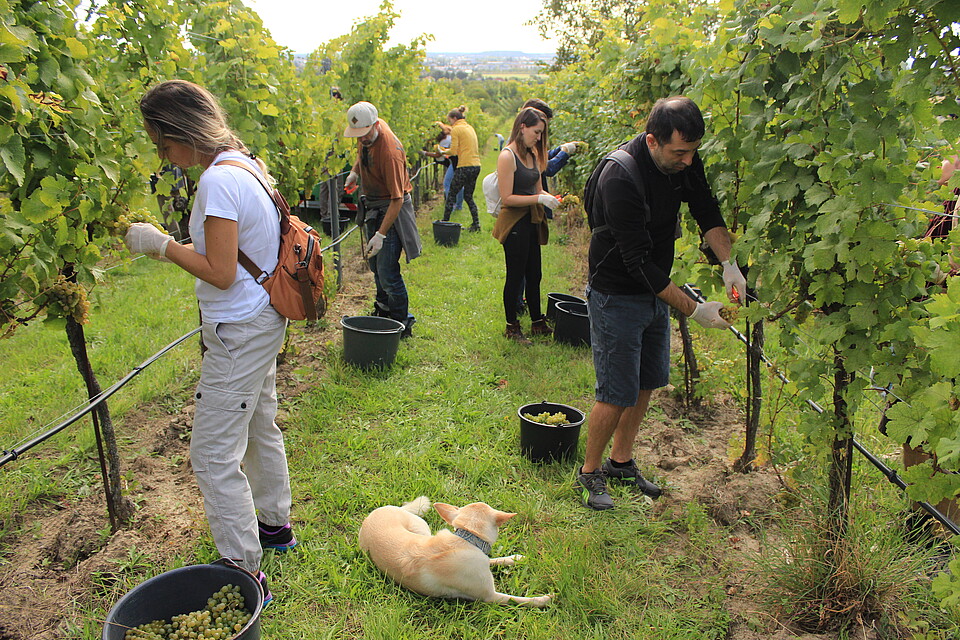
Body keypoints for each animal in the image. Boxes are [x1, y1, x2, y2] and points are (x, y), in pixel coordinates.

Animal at [356, 498, 552, 608]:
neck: (467, 537)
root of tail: (378, 511)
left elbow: (491, 560)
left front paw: (513, 559)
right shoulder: (491, 596)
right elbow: (519, 600)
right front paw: (543, 599)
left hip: (422, 530)